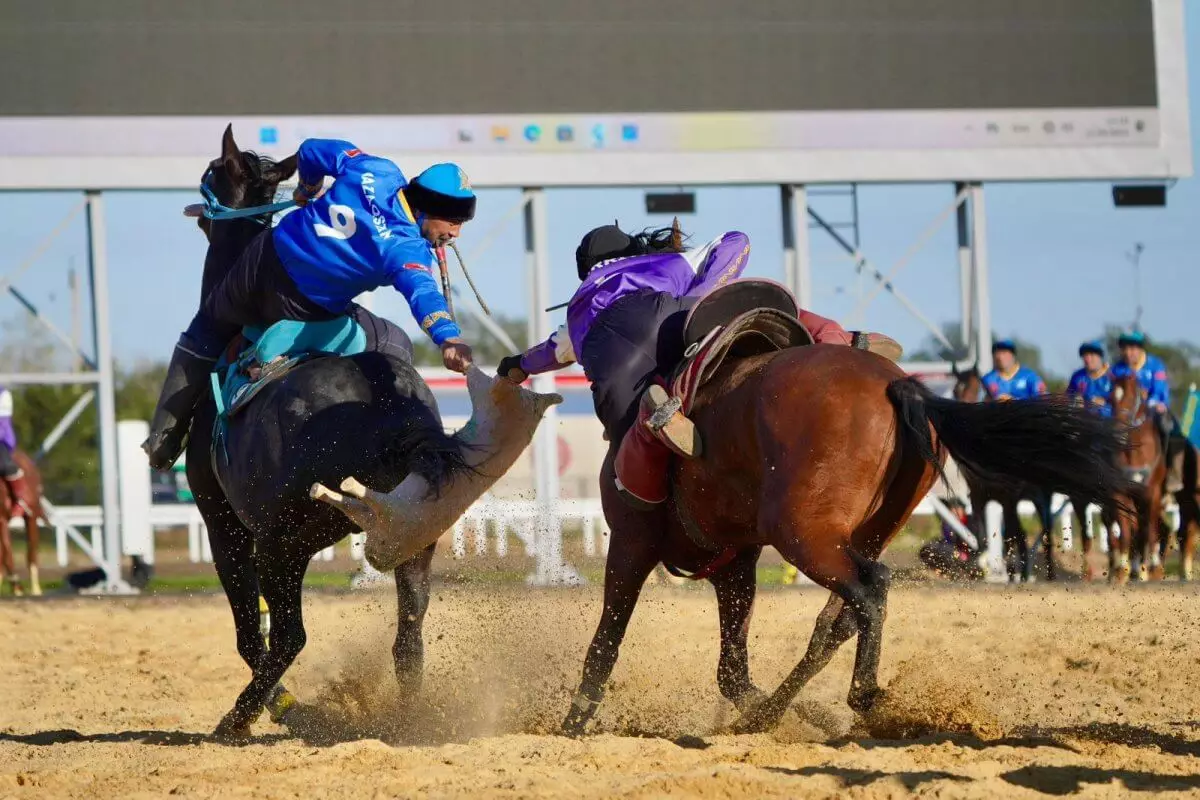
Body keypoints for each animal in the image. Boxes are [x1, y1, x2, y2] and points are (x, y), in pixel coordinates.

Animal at [950, 367, 1056, 582]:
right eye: (955, 390)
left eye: (974, 390)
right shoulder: (979, 495)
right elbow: (981, 532)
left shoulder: (1009, 496)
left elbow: (1010, 535)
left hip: (1042, 498)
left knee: (1045, 531)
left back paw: (1047, 574)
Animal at [1108, 369, 1166, 582]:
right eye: (1111, 398)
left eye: (1131, 398)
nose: (1117, 431)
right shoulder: (1120, 493)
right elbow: (1125, 532)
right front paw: (1121, 571)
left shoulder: (1150, 493)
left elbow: (1148, 530)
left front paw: (1150, 570)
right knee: (1134, 529)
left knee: (1149, 528)